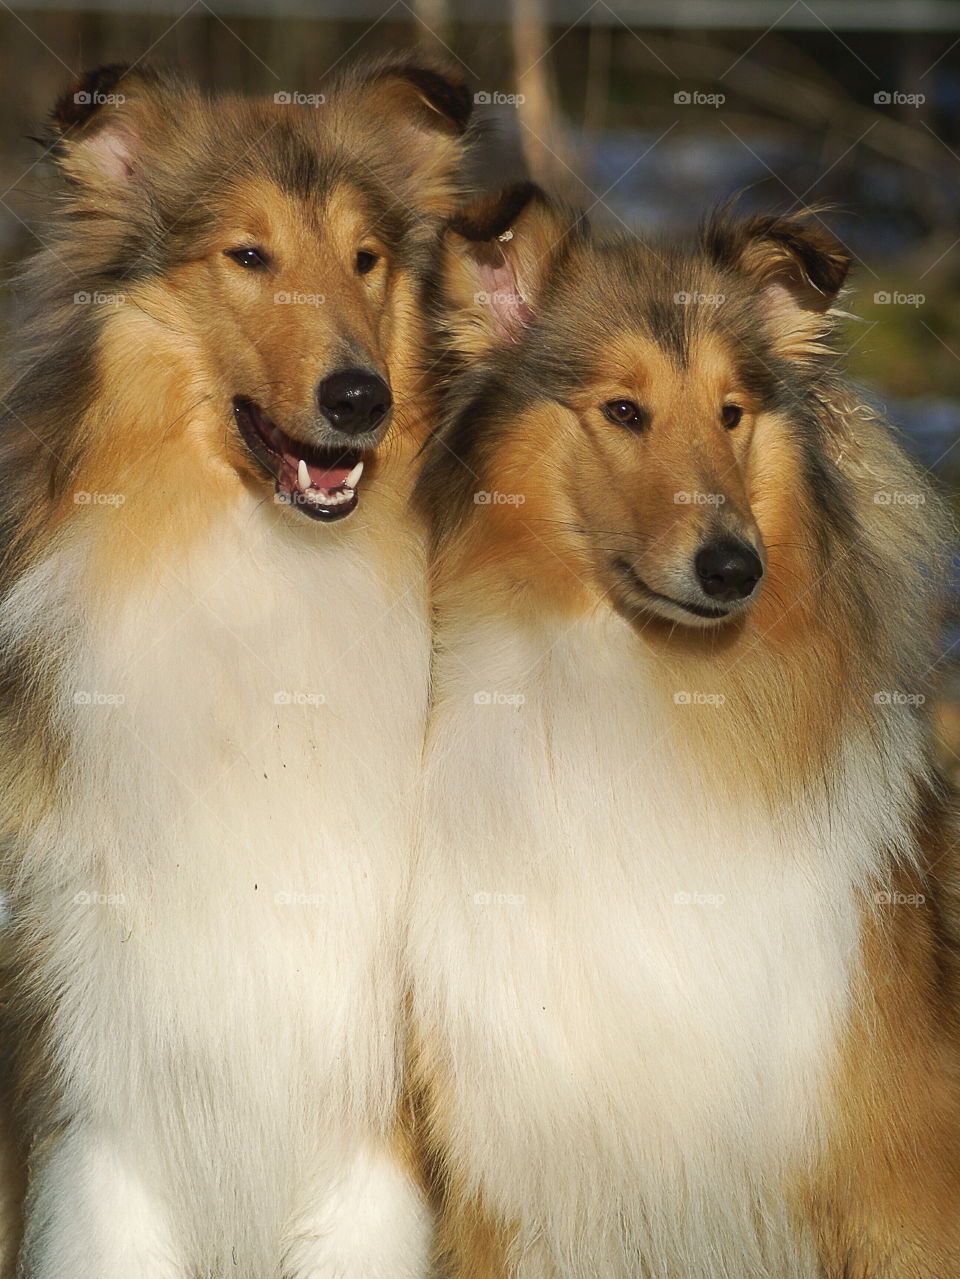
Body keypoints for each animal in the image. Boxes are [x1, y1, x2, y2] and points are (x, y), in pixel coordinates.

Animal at [0, 57, 472, 1279]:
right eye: (248, 255)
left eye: (366, 257)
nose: (361, 399)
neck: (264, 573)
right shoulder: (98, 1111)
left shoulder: (369, 1132)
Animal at [409, 186, 960, 1279]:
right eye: (623, 410)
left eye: (733, 412)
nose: (733, 568)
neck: (638, 691)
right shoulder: (512, 1174)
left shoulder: (895, 1178)